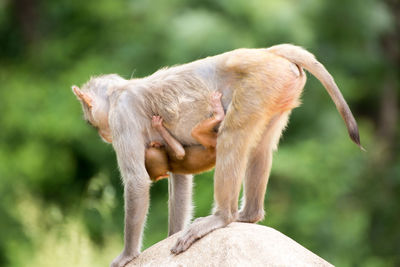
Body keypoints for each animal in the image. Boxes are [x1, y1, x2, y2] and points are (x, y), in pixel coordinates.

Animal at [72, 44, 362, 267]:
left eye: (90, 121)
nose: (103, 135)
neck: (120, 91)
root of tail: (267, 53)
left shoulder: (122, 117)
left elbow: (136, 182)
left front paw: (128, 255)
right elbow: (180, 176)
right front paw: (171, 234)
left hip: (258, 85)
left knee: (231, 137)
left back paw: (222, 217)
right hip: (276, 92)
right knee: (260, 148)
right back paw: (249, 215)